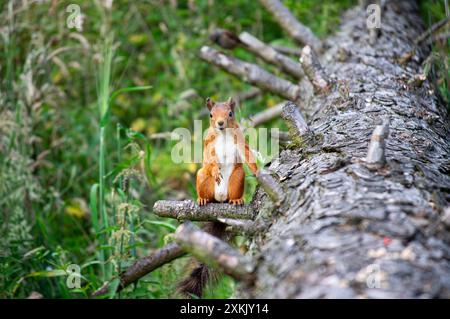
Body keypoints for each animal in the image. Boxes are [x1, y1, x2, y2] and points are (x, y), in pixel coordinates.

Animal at [178, 97, 258, 298]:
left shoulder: (240, 140)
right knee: (204, 179)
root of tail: (220, 199)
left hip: (237, 178)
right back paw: (203, 200)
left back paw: (236, 200)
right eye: (211, 115)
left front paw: (257, 170)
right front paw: (215, 170)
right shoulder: (209, 143)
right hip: (202, 177)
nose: (220, 123)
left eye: (230, 113)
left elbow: (247, 154)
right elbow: (210, 157)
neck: (223, 135)